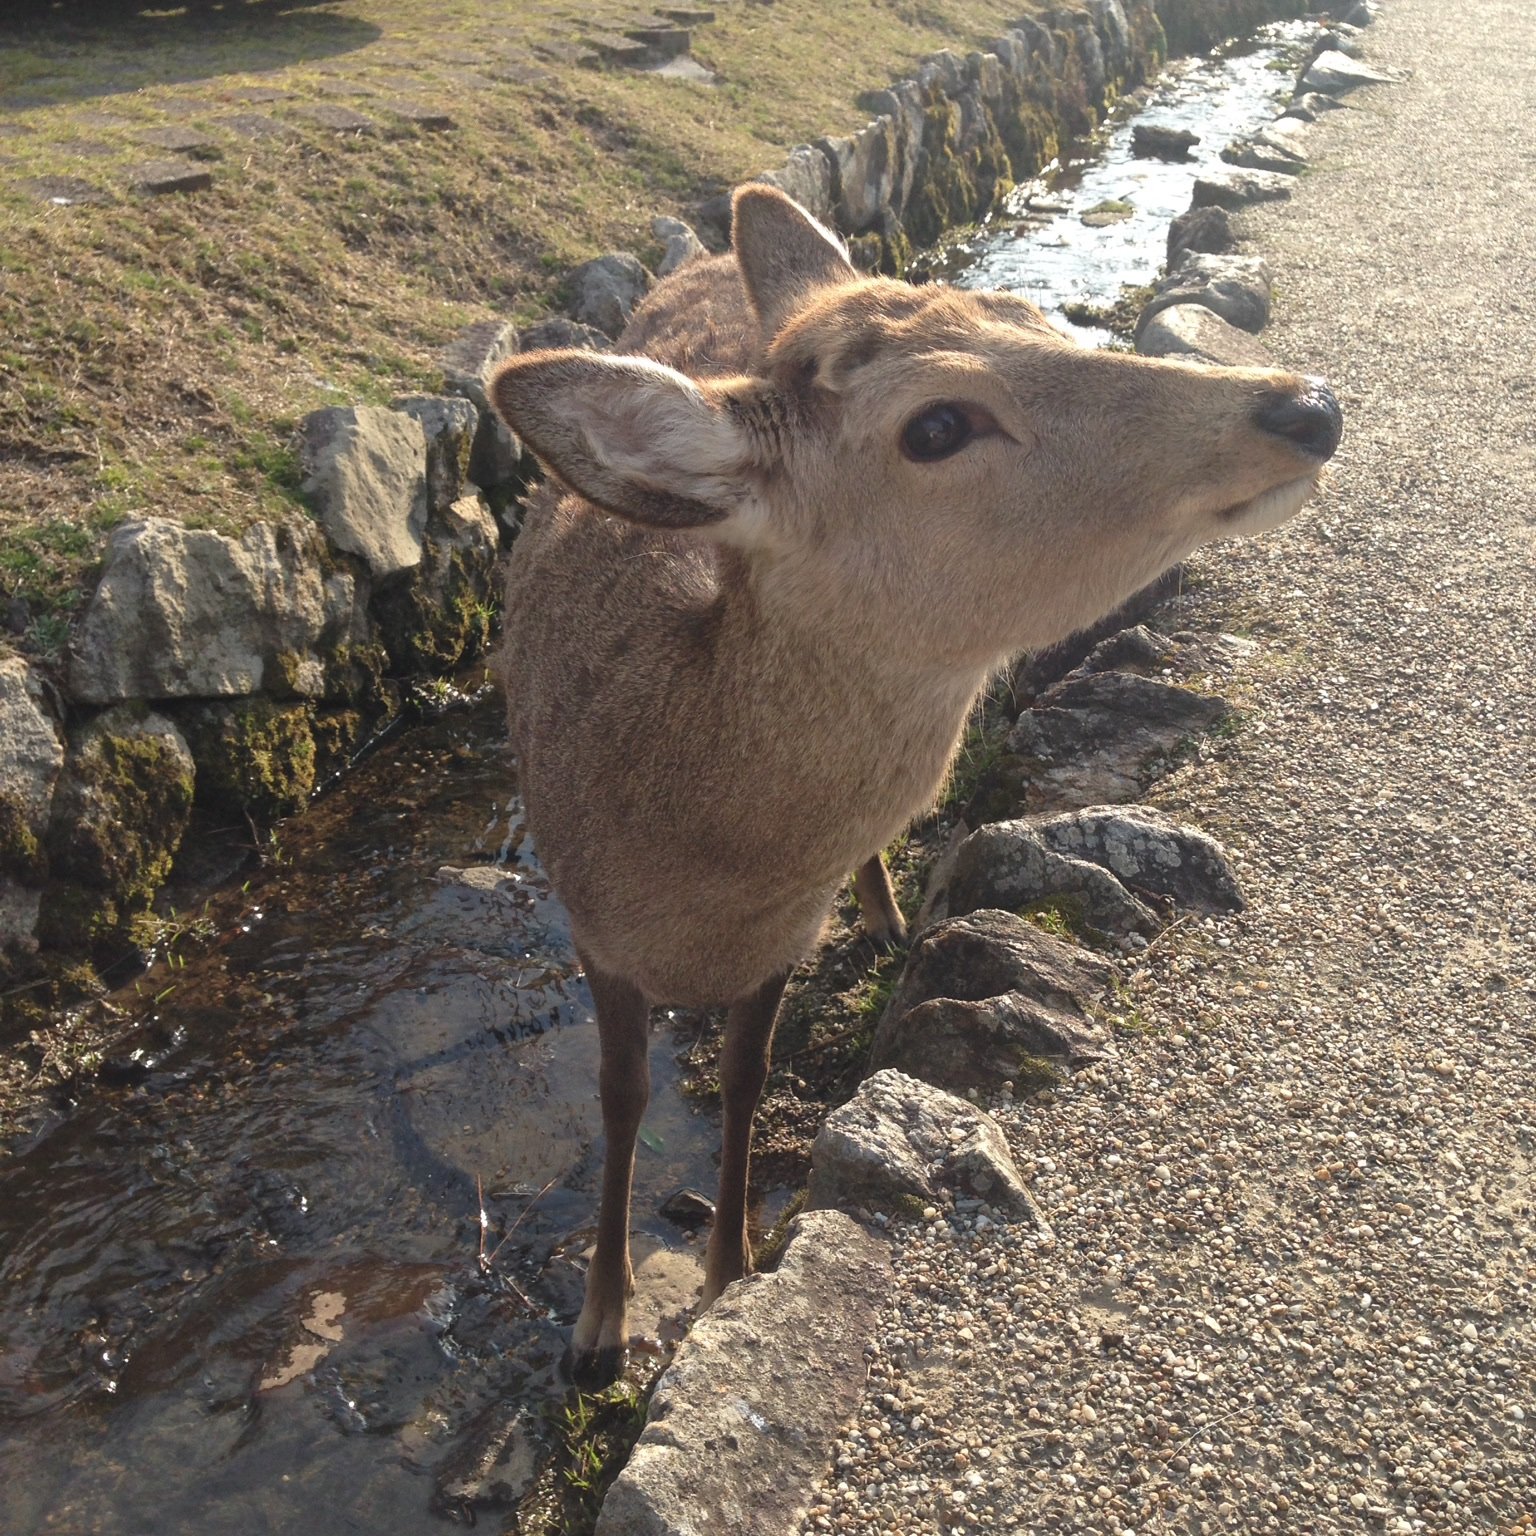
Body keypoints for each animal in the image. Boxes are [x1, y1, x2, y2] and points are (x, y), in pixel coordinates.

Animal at [485, 179, 1339, 1382]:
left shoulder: (780, 944)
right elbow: (621, 1098)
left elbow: (745, 1079)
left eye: (1027, 315)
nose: (1306, 405)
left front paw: (730, 1270)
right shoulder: (590, 927)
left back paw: (890, 914)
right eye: (935, 426)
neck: (691, 874)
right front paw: (597, 1327)